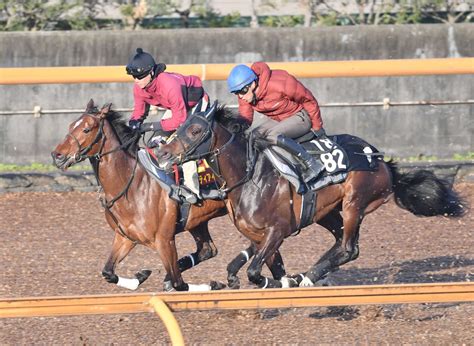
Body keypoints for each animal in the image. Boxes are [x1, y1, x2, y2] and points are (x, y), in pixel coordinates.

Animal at [49, 100, 286, 292]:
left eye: (86, 129)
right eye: (70, 126)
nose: (57, 155)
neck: (132, 185)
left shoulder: (164, 240)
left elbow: (178, 283)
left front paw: (212, 284)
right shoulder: (126, 237)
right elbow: (108, 272)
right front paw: (140, 276)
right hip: (199, 221)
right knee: (209, 250)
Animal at [156, 105, 466, 290]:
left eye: (195, 130)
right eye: (180, 126)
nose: (163, 152)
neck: (250, 177)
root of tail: (380, 160)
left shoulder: (279, 229)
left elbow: (256, 271)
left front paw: (282, 280)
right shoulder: (260, 234)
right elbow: (247, 263)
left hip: (355, 203)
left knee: (349, 248)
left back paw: (307, 277)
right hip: (326, 212)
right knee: (342, 244)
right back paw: (310, 275)